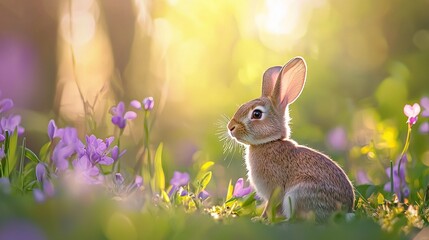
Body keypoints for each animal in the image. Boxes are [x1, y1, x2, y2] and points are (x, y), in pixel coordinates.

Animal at [227, 56, 354, 223]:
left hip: (298, 194)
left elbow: (270, 206)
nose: (230, 127)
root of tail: (345, 211)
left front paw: (260, 219)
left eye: (256, 114)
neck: (269, 142)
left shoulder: (275, 188)